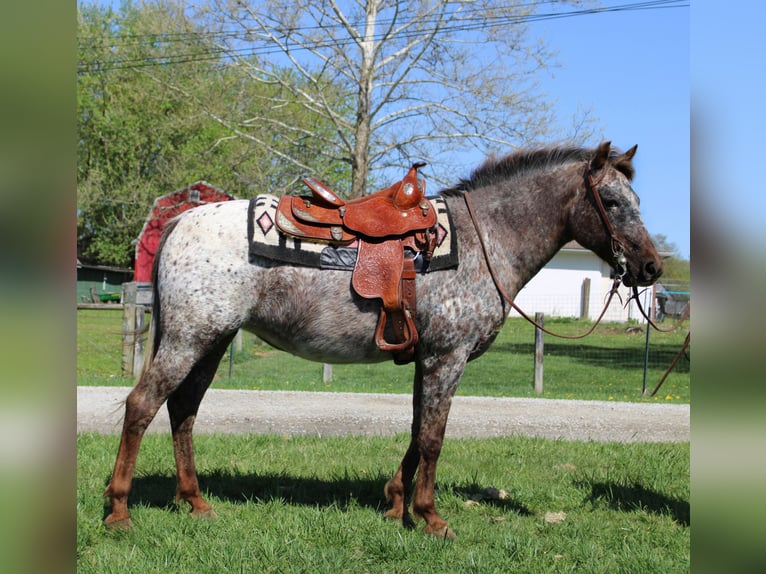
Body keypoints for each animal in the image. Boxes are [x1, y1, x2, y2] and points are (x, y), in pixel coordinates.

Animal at [103, 143, 664, 540]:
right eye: (611, 202)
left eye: (638, 200)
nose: (652, 268)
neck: (484, 241)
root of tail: (181, 220)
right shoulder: (447, 358)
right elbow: (434, 437)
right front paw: (431, 518)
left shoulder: (426, 358)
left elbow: (418, 430)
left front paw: (397, 503)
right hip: (190, 337)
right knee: (142, 406)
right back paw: (119, 510)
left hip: (212, 340)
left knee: (183, 410)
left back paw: (195, 502)